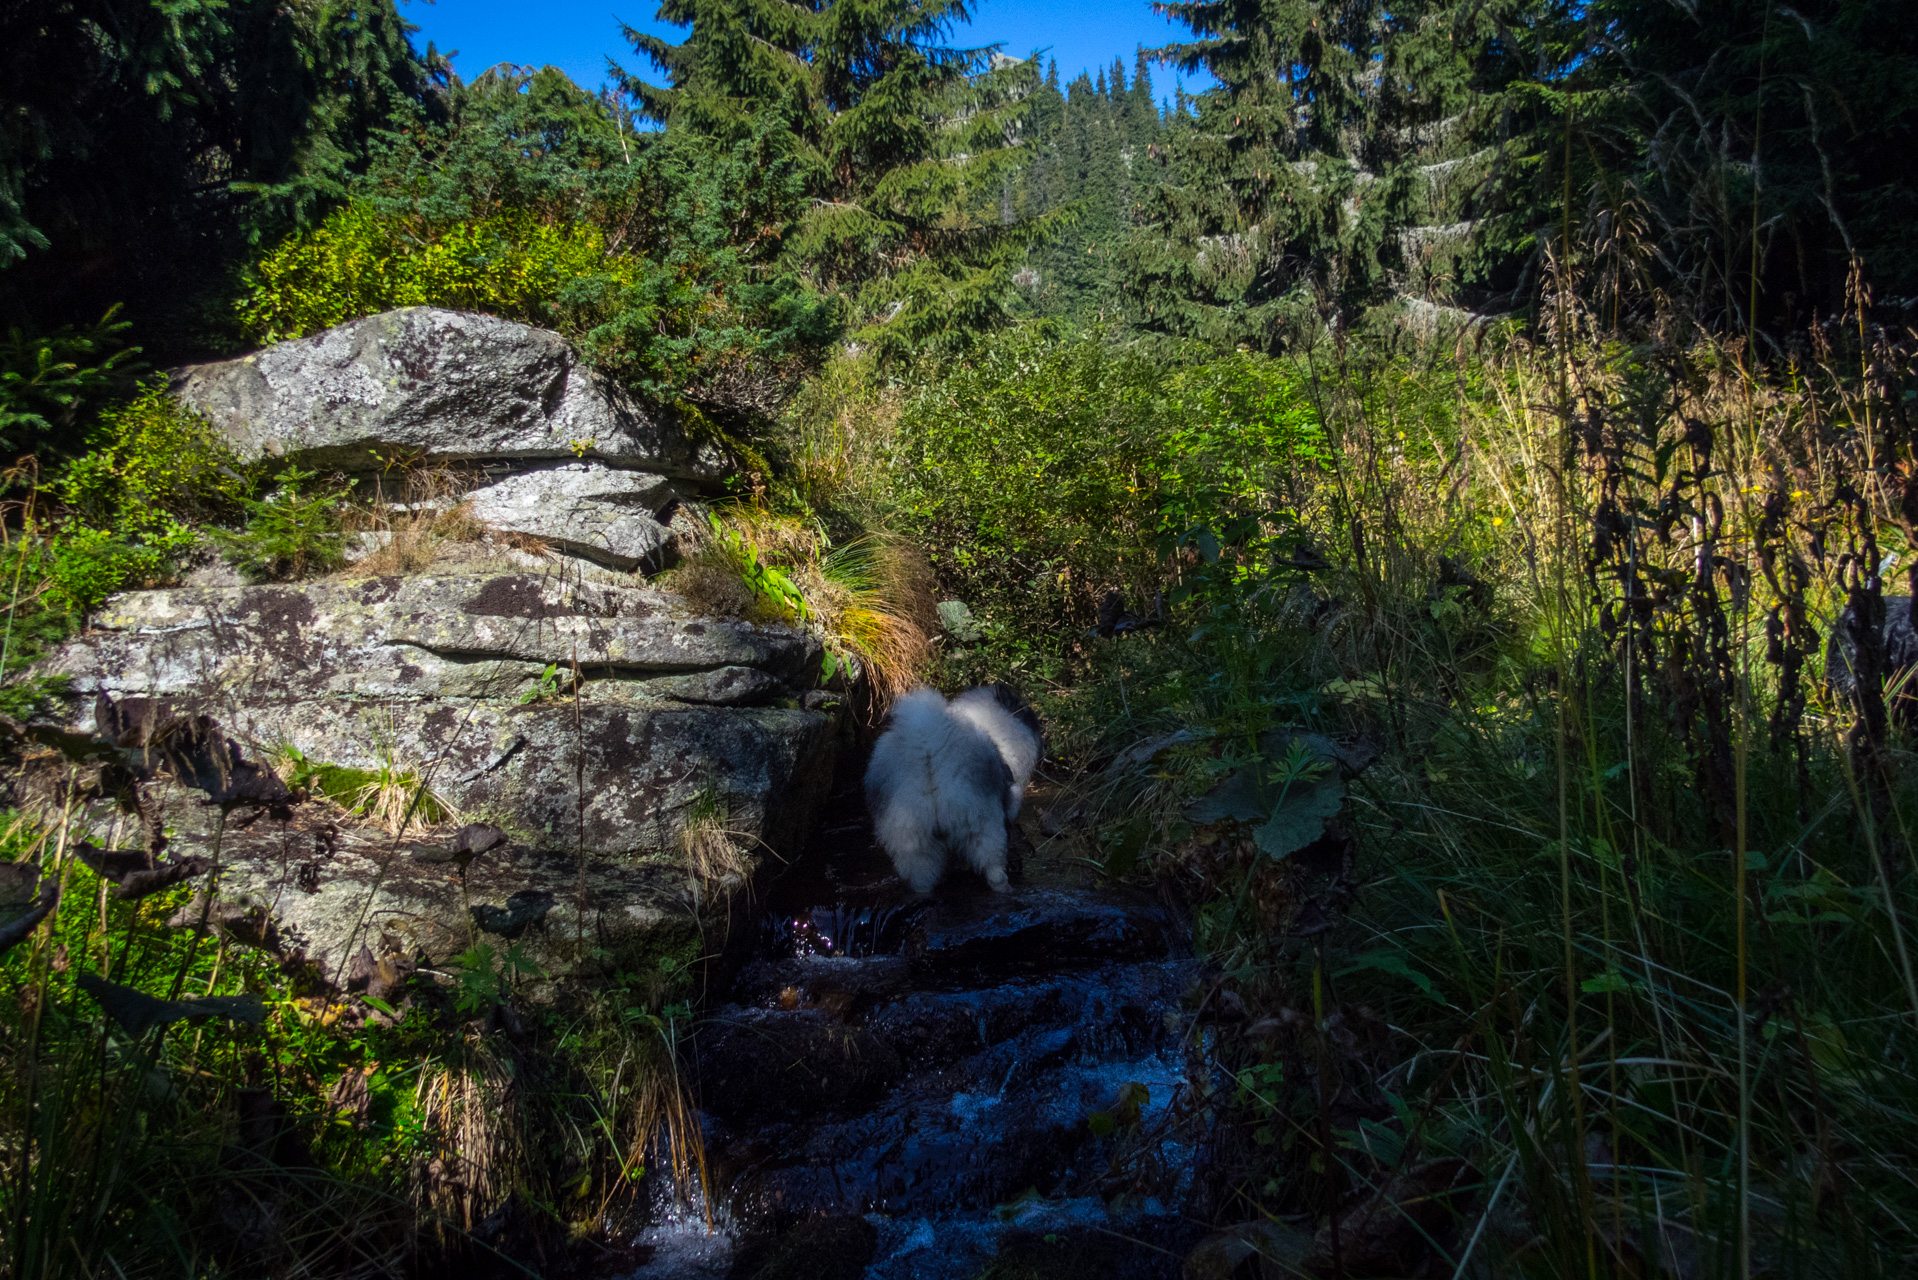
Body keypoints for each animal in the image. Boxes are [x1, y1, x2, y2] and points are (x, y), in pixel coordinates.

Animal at [870, 687, 1043, 898]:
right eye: (1026, 712)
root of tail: (928, 748)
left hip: (913, 842)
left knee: (921, 879)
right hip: (985, 827)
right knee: (994, 871)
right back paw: (1006, 889)